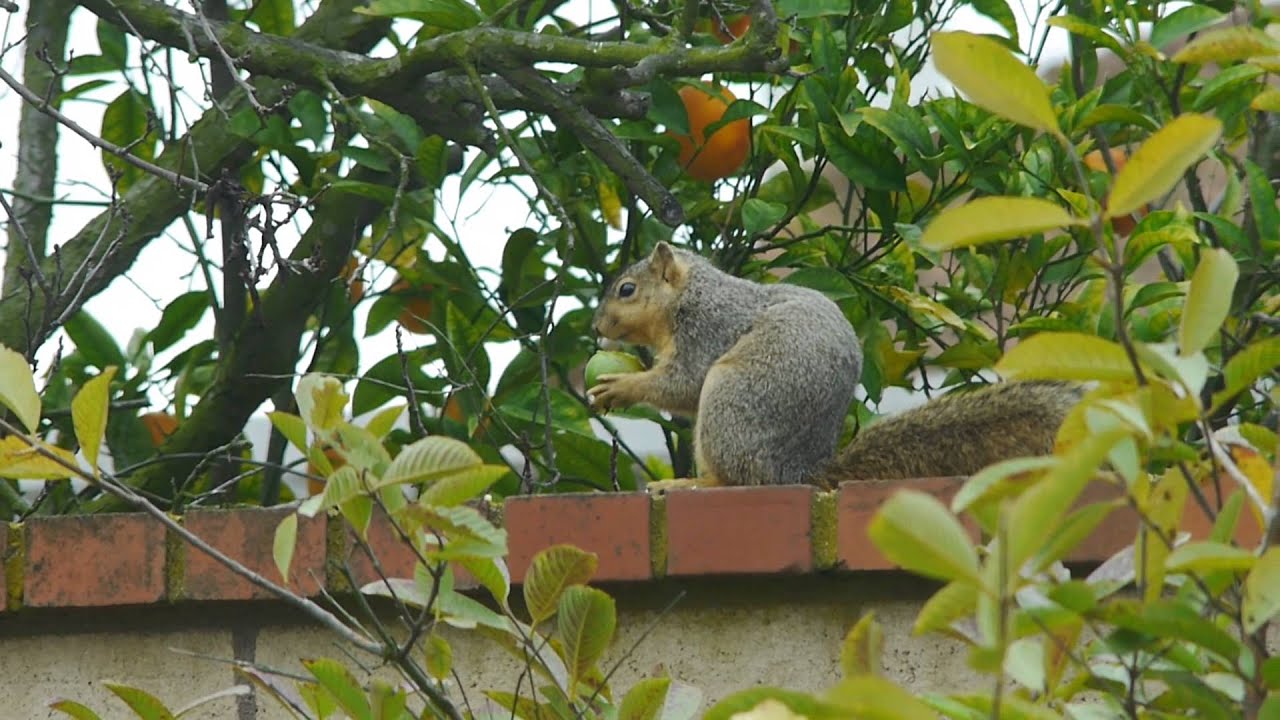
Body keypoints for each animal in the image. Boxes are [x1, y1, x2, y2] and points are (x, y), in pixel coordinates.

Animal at [589, 241, 1083, 491]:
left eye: (627, 290)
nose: (596, 325)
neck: (689, 295)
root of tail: (796, 472)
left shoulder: (709, 329)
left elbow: (685, 384)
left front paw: (622, 386)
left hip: (731, 399)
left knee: (737, 478)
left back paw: (692, 485)